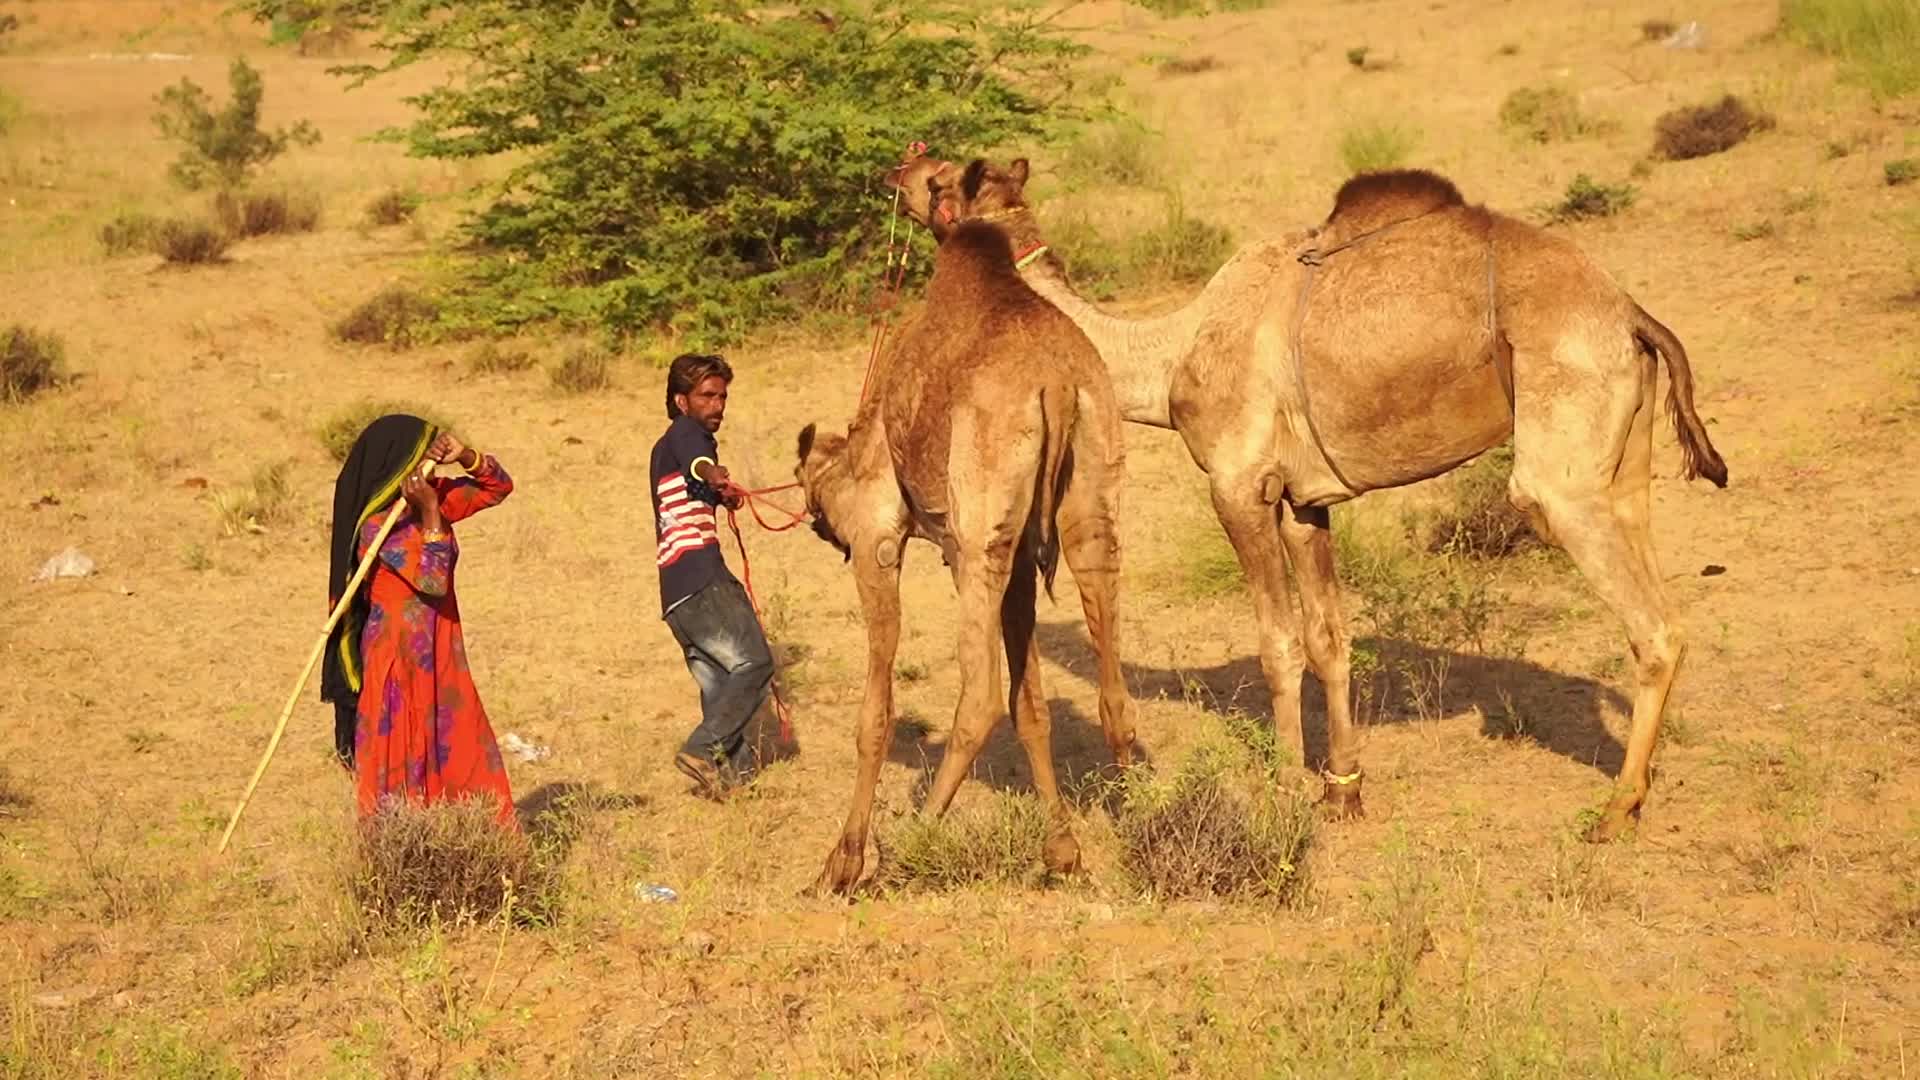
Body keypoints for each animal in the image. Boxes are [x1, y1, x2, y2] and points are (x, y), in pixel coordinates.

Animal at [792, 160, 1137, 895]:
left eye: (932, 179)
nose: (895, 172)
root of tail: (1057, 386)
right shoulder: (1023, 562)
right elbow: (1032, 703)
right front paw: (1063, 850)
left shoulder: (882, 536)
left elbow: (876, 713)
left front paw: (841, 863)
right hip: (1087, 505)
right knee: (1111, 689)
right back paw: (1142, 821)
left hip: (978, 534)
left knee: (976, 696)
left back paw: (909, 847)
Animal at [887, 155, 1728, 842]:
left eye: (941, 181)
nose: (900, 170)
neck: (1170, 357)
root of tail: (1630, 314)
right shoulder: (1303, 502)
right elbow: (1330, 636)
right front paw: (1344, 790)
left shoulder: (1238, 485)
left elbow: (1279, 642)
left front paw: (1283, 789)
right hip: (1623, 460)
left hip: (1561, 453)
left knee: (1649, 622)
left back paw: (1615, 810)